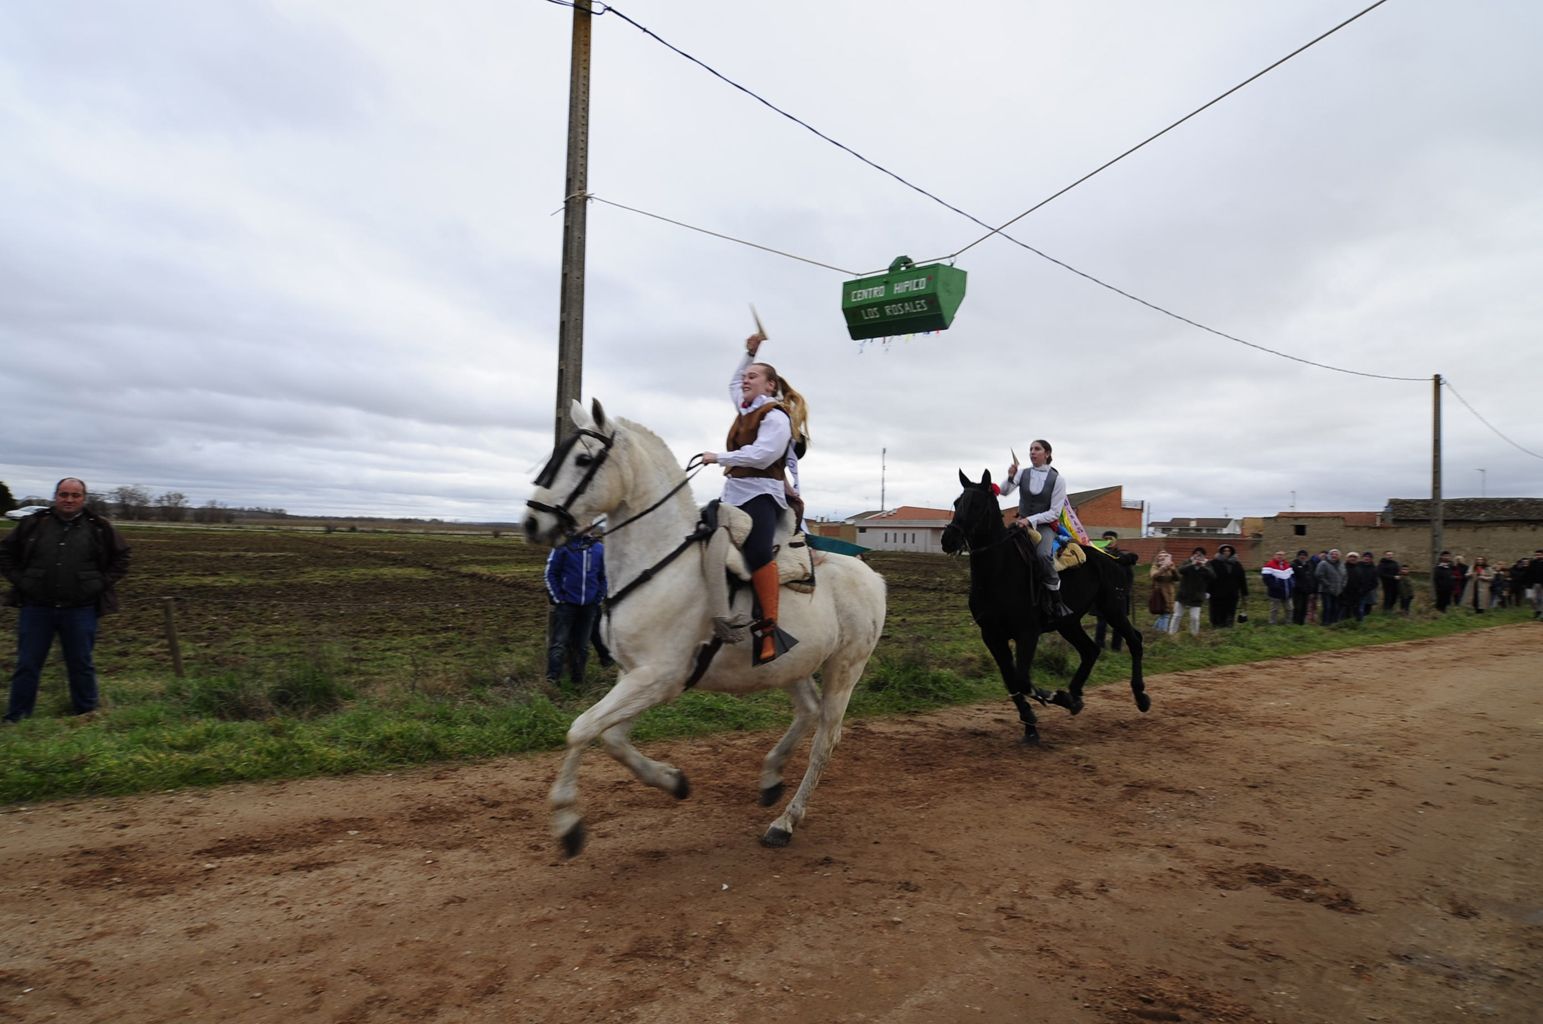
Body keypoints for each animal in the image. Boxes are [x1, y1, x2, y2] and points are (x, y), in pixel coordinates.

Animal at [524, 400, 888, 857]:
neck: (659, 562)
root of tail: (871, 576)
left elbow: (581, 729)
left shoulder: (657, 678)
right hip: (792, 664)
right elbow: (612, 738)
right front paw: (673, 781)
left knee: (825, 740)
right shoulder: (636, 676)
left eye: (583, 460)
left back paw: (785, 821)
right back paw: (771, 777)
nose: (531, 522)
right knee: (808, 711)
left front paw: (568, 824)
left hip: (845, 667)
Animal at [938, 468, 1147, 743]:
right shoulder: (992, 635)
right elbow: (1011, 681)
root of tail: (1115, 558)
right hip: (1069, 622)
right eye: (957, 502)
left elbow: (1022, 679)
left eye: (977, 505)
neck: (999, 571)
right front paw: (1031, 724)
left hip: (1113, 610)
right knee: (1091, 650)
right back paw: (1075, 696)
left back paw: (1140, 697)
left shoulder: (1027, 633)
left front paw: (1054, 699)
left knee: (1134, 641)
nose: (948, 539)